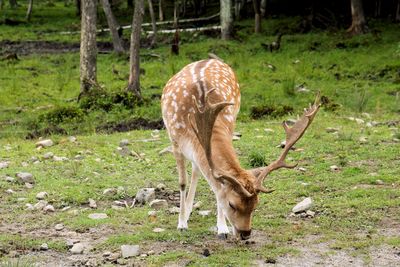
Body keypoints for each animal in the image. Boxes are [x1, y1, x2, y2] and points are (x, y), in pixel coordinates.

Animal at [161, 58, 320, 241]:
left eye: (256, 205)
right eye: (232, 204)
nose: (245, 233)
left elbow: (215, 186)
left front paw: (222, 229)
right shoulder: (175, 142)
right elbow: (182, 182)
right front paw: (181, 224)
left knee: (196, 169)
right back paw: (186, 214)